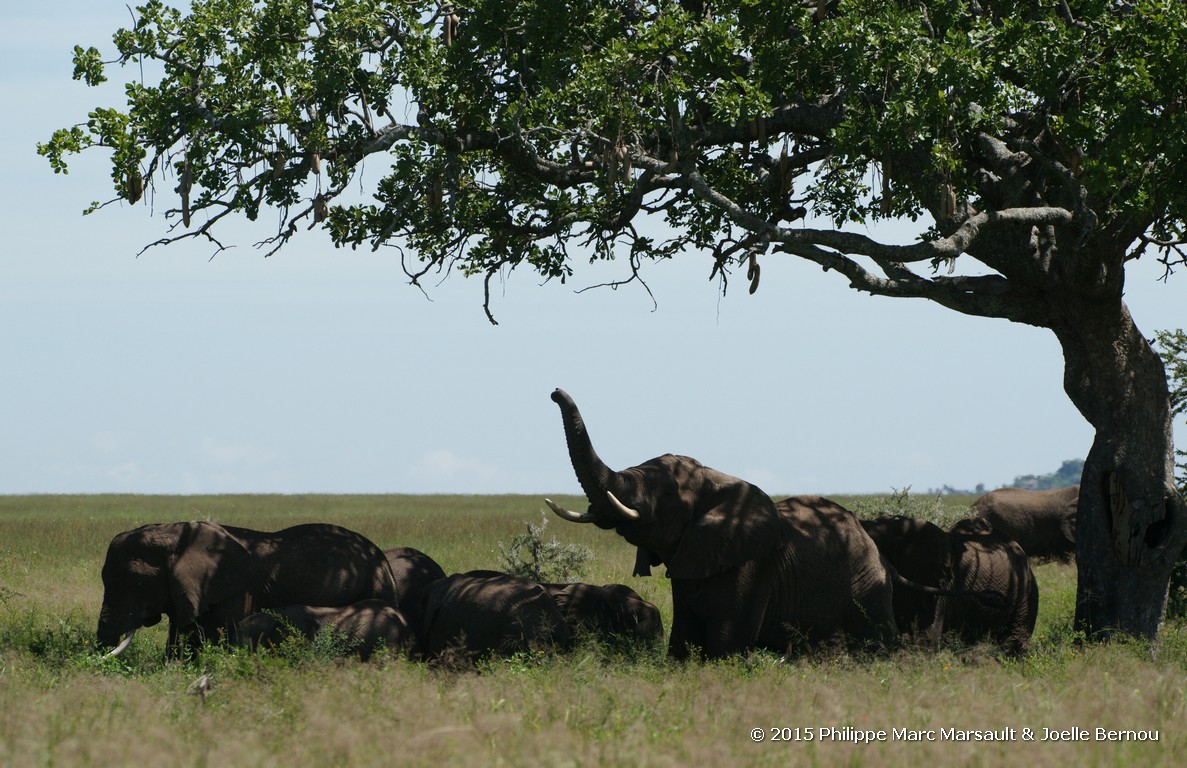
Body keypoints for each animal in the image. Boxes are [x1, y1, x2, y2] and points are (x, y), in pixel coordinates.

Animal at [546, 391, 897, 659]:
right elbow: (684, 636)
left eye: (667, 492)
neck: (715, 481)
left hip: (868, 584)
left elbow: (727, 644)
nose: (554, 393)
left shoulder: (751, 563)